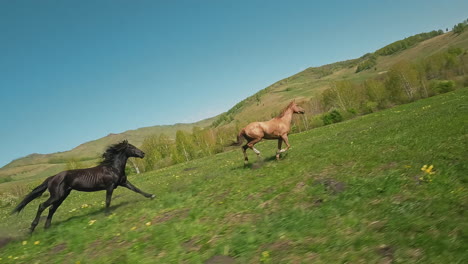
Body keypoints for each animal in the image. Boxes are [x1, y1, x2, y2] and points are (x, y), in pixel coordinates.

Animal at [12, 139, 155, 232]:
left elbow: (137, 189)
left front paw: (151, 195)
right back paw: (32, 228)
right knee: (42, 206)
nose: (143, 153)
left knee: (52, 209)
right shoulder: (110, 186)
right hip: (57, 195)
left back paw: (47, 227)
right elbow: (108, 201)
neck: (112, 168)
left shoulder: (123, 183)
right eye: (131, 147)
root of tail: (52, 178)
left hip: (62, 196)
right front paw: (106, 214)